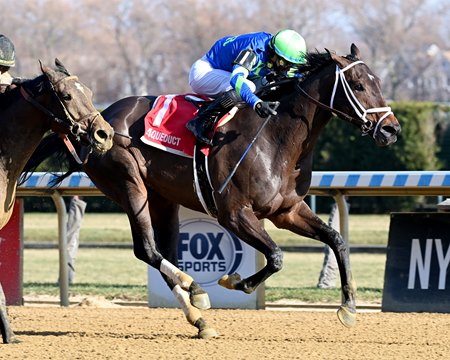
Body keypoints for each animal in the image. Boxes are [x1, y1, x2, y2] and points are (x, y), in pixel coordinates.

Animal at [33, 44, 402, 338]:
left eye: (379, 83)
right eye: (358, 85)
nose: (391, 130)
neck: (276, 137)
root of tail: (97, 119)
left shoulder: (288, 211)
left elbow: (336, 240)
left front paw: (349, 307)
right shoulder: (235, 214)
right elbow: (276, 256)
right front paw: (236, 282)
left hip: (163, 199)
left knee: (165, 252)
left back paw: (197, 313)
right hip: (129, 185)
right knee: (148, 250)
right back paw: (197, 292)